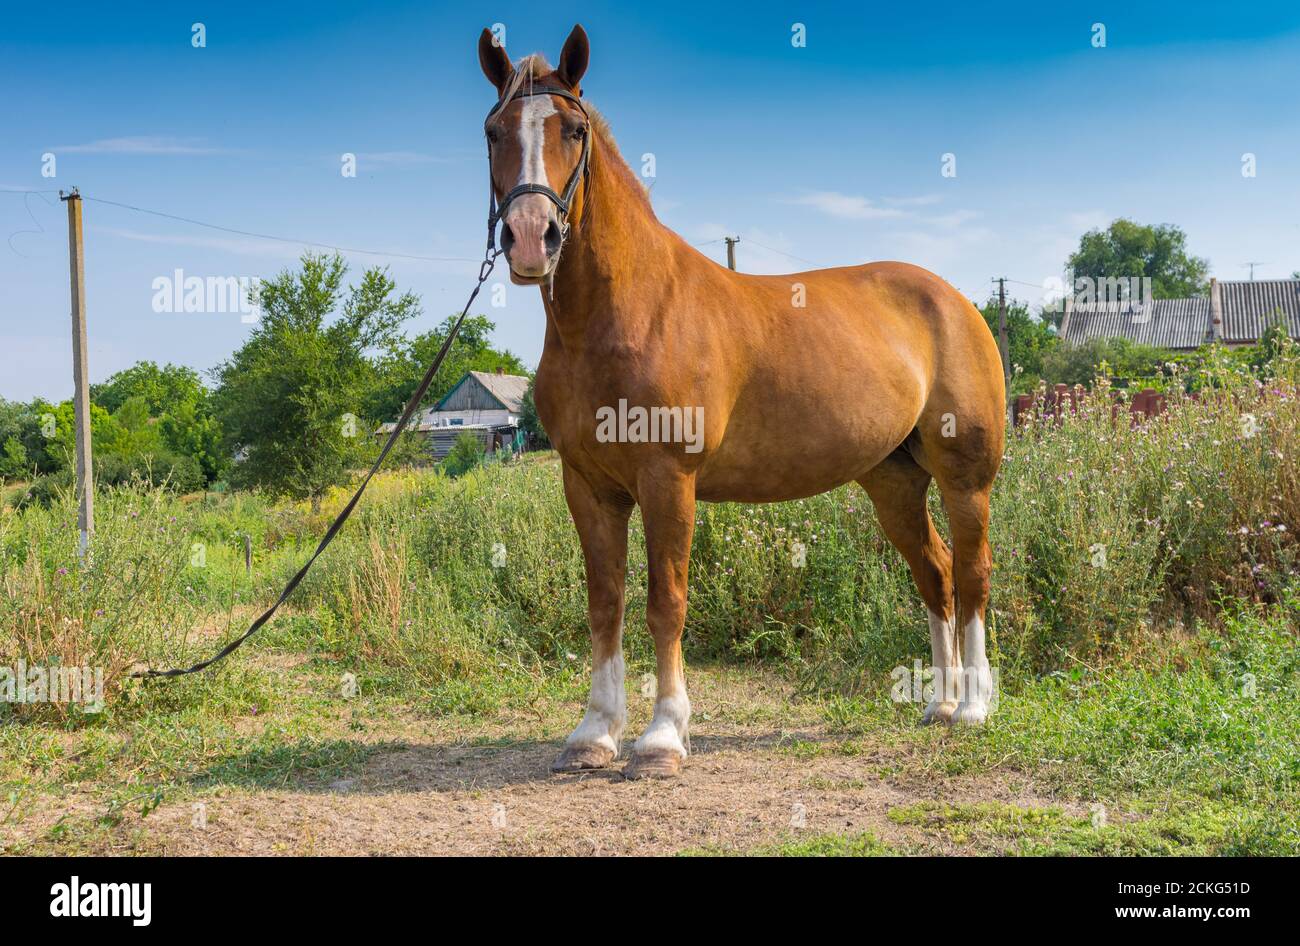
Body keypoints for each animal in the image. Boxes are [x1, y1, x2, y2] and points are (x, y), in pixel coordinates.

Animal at [478, 24, 1003, 774]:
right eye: (493, 131)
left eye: (573, 130)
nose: (529, 238)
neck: (625, 310)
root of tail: (956, 300)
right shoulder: (588, 486)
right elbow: (605, 604)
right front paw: (595, 733)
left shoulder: (668, 479)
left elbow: (665, 602)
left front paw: (663, 737)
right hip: (894, 481)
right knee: (936, 575)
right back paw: (940, 703)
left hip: (966, 478)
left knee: (974, 573)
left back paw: (976, 708)